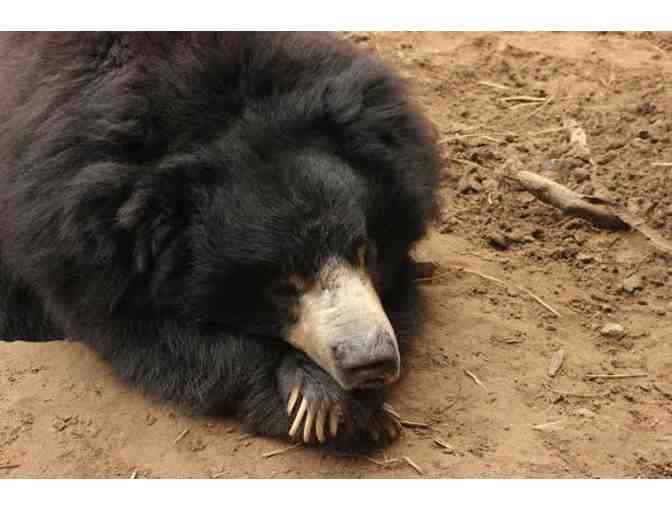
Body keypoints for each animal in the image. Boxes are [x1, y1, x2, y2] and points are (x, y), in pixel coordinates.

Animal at [0, 31, 438, 448]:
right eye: (281, 286)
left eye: (366, 251)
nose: (371, 361)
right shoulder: (81, 248)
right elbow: (144, 335)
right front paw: (323, 401)